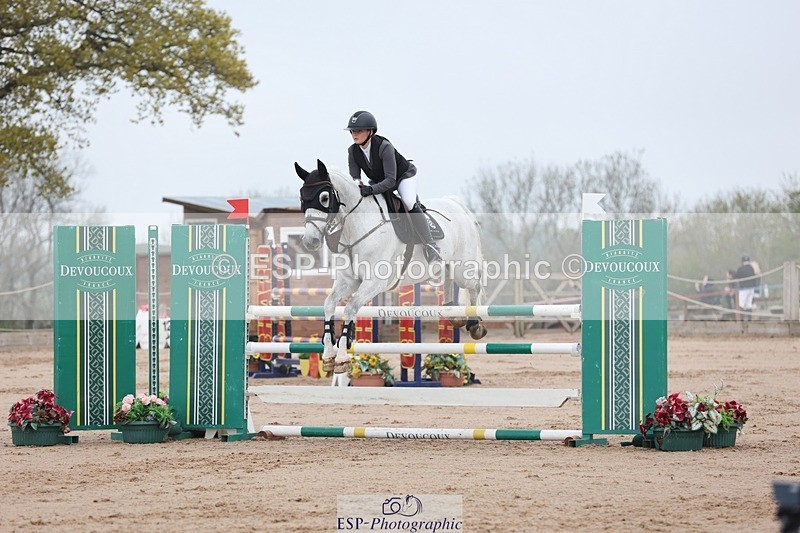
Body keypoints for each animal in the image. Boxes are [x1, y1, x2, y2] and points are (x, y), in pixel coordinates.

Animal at [295, 159, 487, 374]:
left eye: (324, 198)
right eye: (302, 198)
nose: (310, 242)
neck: (357, 227)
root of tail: (455, 203)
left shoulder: (374, 283)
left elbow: (350, 308)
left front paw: (342, 358)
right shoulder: (349, 281)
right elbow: (329, 304)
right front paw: (329, 356)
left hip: (462, 268)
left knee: (475, 285)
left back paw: (474, 324)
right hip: (447, 264)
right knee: (449, 278)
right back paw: (453, 313)